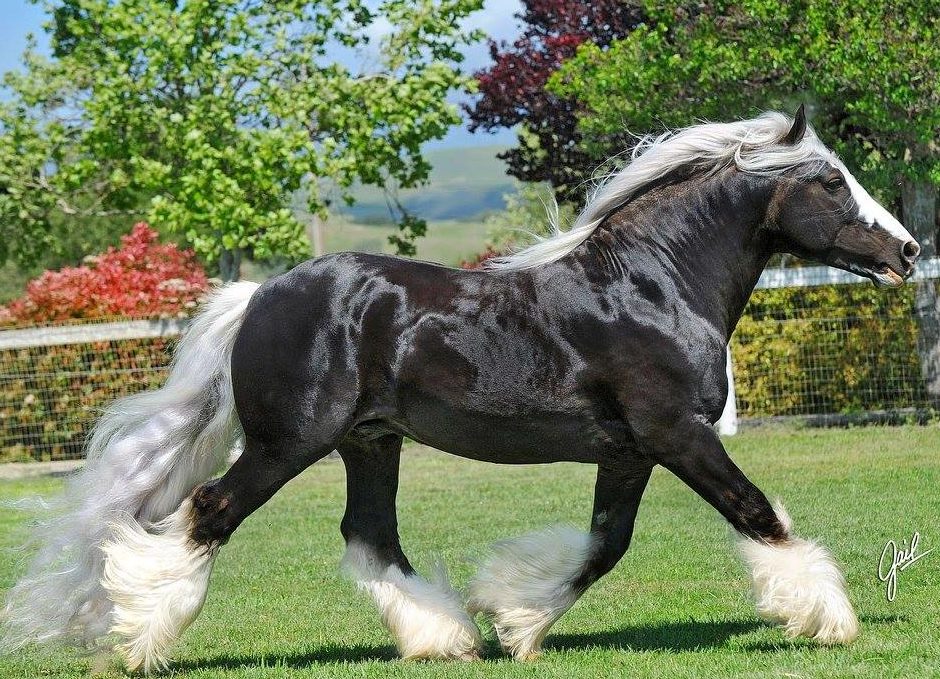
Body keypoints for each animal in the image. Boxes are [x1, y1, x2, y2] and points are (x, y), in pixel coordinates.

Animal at [0, 106, 920, 668]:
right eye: (830, 182)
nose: (908, 251)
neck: (649, 287)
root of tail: (260, 295)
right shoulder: (677, 434)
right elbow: (758, 513)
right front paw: (829, 618)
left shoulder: (630, 450)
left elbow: (604, 544)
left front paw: (516, 620)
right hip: (288, 441)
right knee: (208, 513)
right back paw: (138, 637)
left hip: (370, 441)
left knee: (368, 535)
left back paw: (447, 635)